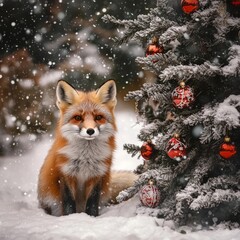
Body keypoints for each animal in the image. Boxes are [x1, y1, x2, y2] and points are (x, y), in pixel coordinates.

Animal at [36, 79, 136, 217]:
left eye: (98, 117)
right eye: (78, 117)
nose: (90, 131)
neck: (86, 157)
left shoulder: (97, 174)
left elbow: (92, 202)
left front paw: (92, 217)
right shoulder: (66, 173)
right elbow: (68, 202)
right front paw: (69, 218)